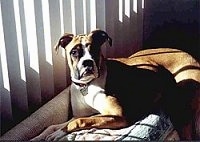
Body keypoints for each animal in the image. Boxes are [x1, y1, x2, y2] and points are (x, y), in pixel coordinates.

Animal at [31, 29, 200, 140]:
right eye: (74, 52)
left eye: (94, 49)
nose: (88, 63)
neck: (87, 85)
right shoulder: (85, 114)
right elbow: (54, 125)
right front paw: (41, 135)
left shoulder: (118, 116)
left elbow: (78, 122)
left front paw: (59, 133)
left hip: (179, 109)